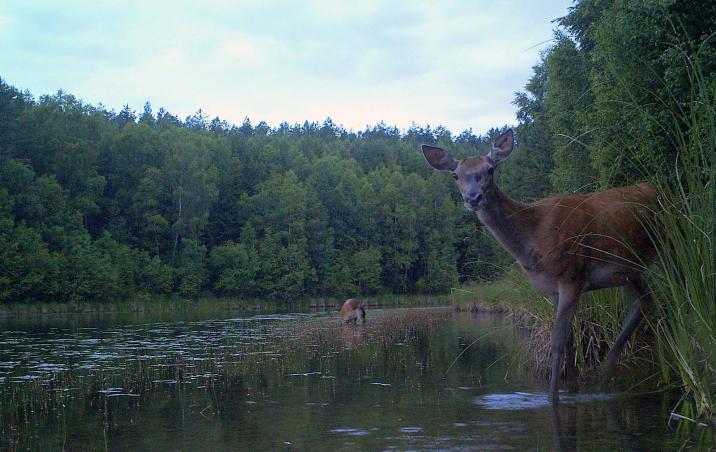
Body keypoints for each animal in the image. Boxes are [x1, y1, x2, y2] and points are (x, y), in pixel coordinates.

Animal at [422, 130, 656, 402]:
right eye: (456, 175)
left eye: (490, 169)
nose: (473, 198)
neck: (534, 238)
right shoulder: (553, 287)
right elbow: (570, 341)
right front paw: (572, 392)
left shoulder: (571, 276)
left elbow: (558, 341)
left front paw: (553, 398)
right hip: (627, 270)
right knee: (644, 301)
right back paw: (605, 375)